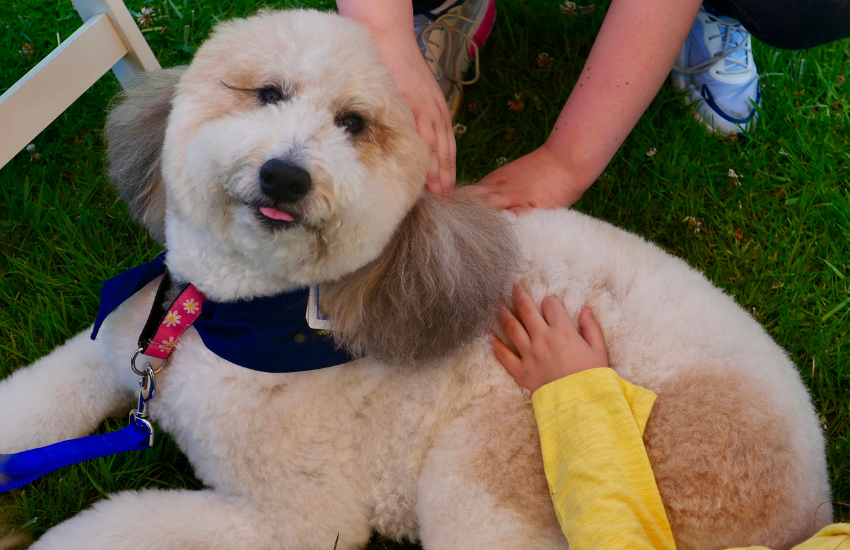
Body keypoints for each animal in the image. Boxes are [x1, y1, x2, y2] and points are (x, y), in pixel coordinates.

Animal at [0, 8, 828, 550]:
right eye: (267, 93)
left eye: (354, 124)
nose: (286, 175)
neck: (224, 315)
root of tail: (809, 501)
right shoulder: (105, 356)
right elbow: (29, 406)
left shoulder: (301, 520)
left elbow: (113, 527)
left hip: (482, 472)